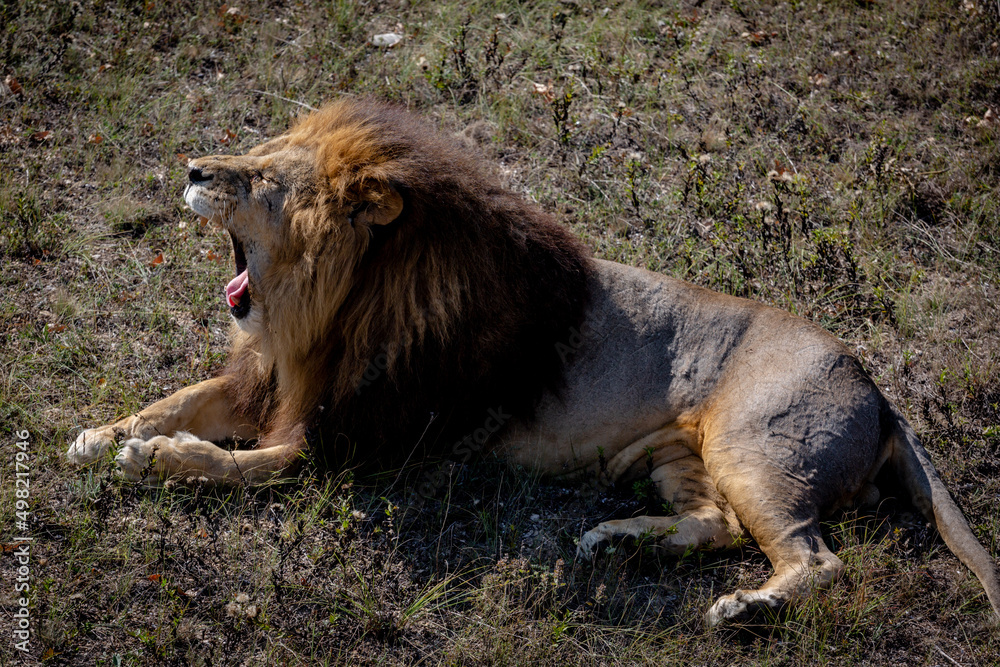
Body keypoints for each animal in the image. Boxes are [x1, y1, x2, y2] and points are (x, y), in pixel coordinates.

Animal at [67, 99, 1000, 626]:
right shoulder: (280, 383)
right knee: (718, 524)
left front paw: (155, 457)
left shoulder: (361, 441)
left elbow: (242, 464)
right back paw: (618, 540)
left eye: (263, 180)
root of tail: (873, 382)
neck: (328, 304)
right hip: (682, 456)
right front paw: (102, 433)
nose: (193, 166)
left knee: (815, 560)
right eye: (253, 154)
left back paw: (745, 608)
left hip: (757, 445)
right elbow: (182, 396)